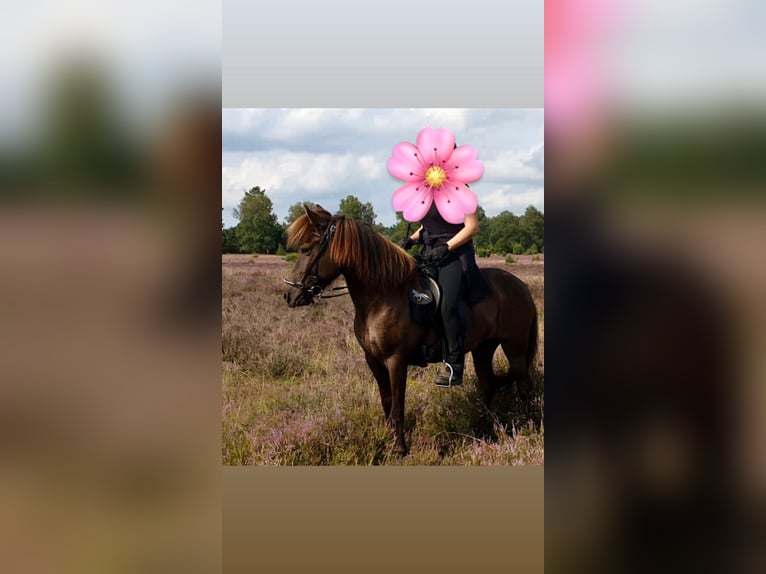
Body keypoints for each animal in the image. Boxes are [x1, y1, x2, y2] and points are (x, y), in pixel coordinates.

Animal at [283, 205, 539, 456]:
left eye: (306, 249)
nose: (289, 295)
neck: (382, 296)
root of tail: (521, 286)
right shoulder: (373, 359)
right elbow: (386, 402)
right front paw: (387, 439)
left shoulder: (396, 359)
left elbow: (398, 405)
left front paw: (400, 449)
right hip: (483, 348)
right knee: (488, 385)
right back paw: (484, 429)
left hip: (514, 347)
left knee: (524, 386)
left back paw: (526, 429)